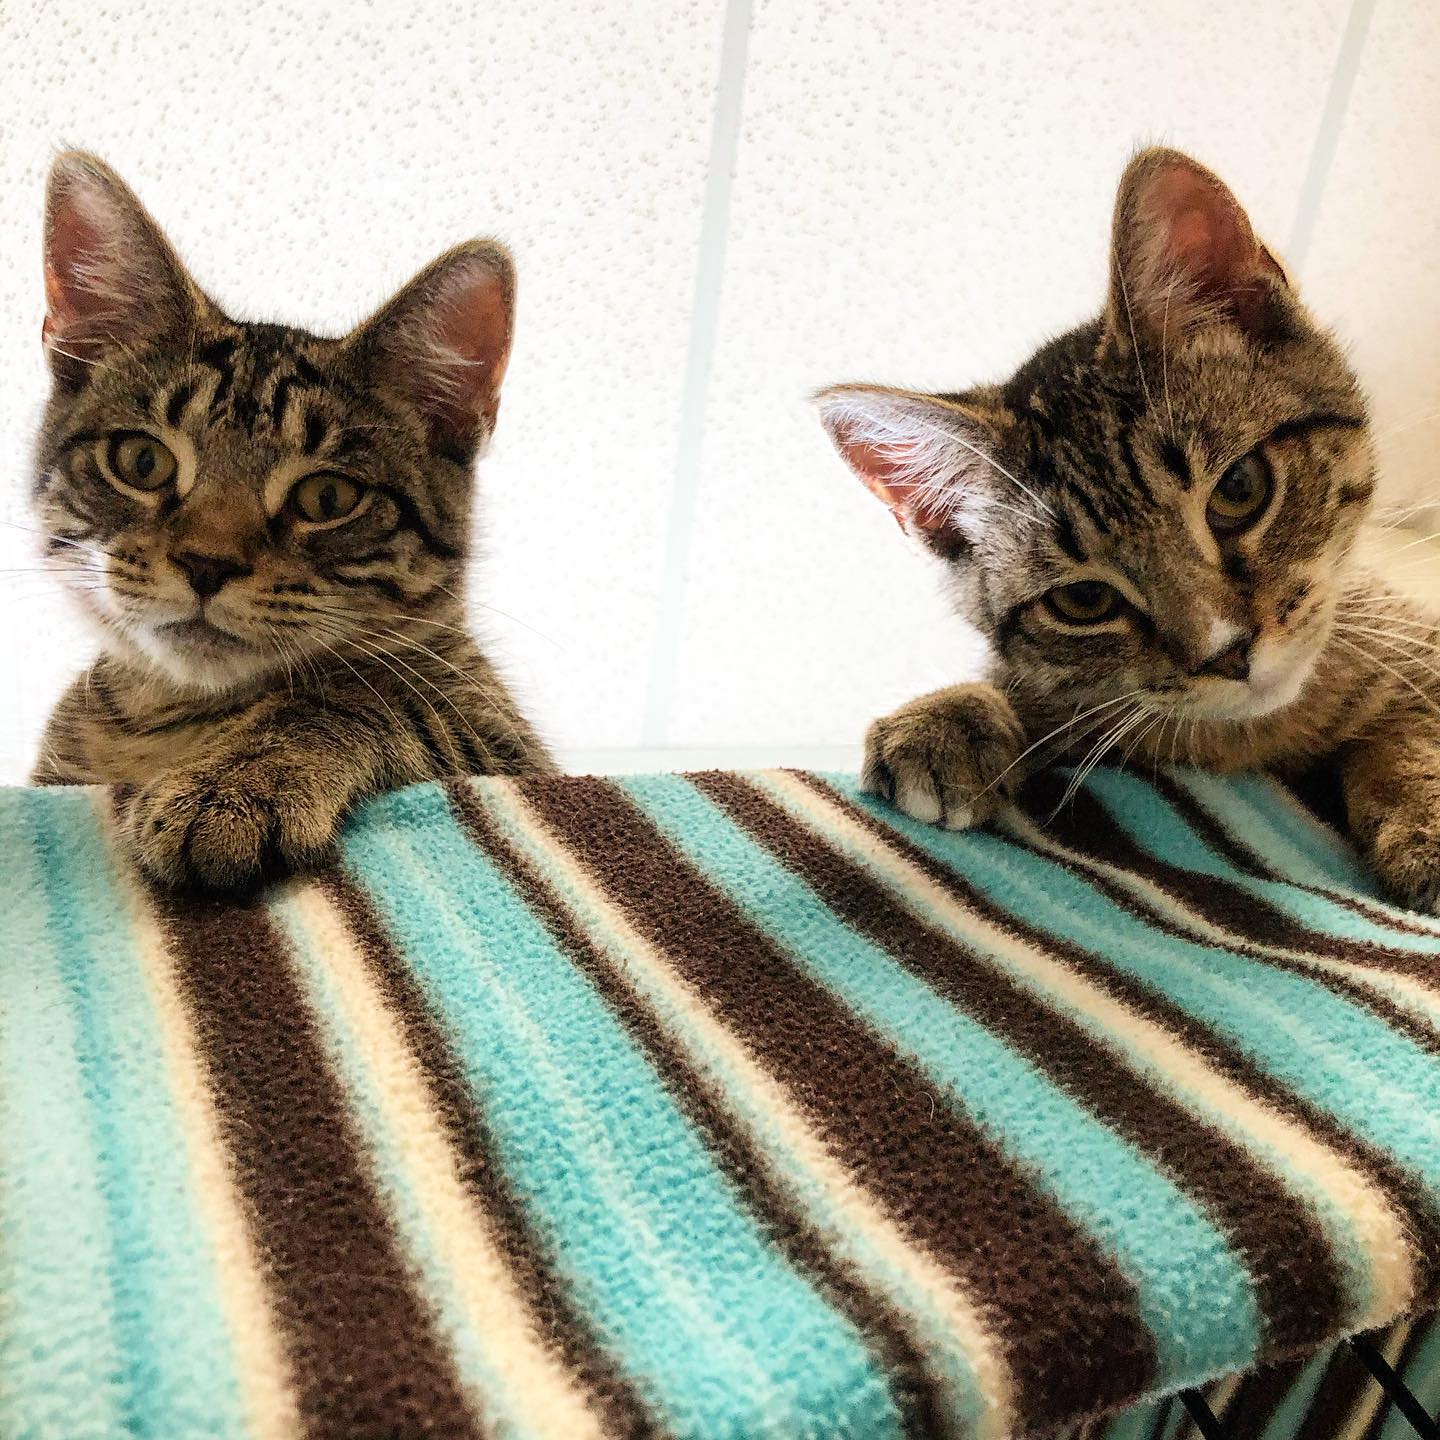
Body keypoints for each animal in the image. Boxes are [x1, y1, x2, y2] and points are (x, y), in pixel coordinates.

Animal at [30, 151, 553, 890]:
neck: (166, 718)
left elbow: (362, 695)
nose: (207, 563)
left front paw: (236, 780)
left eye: (328, 499)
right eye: (142, 461)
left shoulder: (508, 746)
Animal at [817, 146, 1440, 911]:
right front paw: (956, 713)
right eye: (1084, 600)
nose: (1228, 654)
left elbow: (1410, 729)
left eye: (1239, 490)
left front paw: (1423, 820)